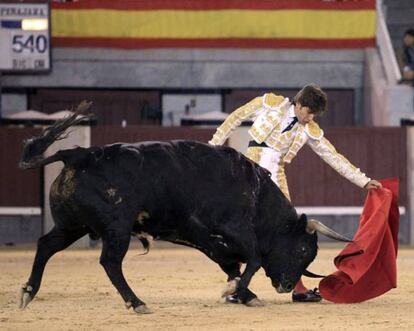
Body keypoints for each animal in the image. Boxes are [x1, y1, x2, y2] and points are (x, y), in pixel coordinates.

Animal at [18, 103, 350, 314]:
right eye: (302, 249)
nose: (286, 286)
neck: (258, 198)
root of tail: (77, 154)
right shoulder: (233, 229)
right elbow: (253, 260)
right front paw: (236, 292)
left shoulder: (209, 240)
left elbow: (233, 265)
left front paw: (243, 294)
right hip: (116, 228)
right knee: (110, 262)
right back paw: (137, 302)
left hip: (72, 225)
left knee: (46, 245)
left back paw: (28, 292)